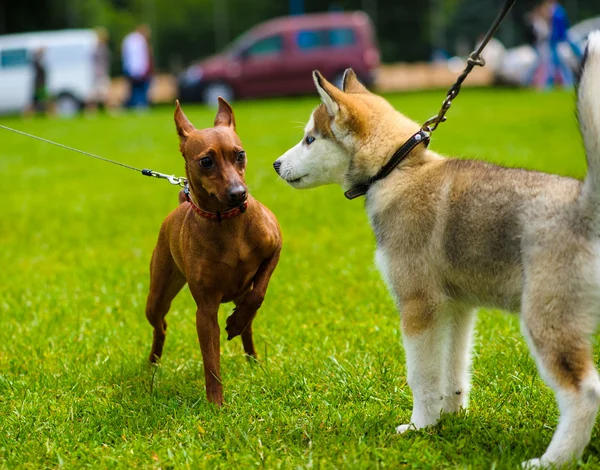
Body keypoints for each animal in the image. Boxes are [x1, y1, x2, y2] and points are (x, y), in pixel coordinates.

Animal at [145, 98, 282, 404]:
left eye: (240, 155)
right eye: (206, 162)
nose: (239, 193)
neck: (227, 223)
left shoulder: (275, 250)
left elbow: (259, 293)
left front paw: (236, 322)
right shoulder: (205, 311)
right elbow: (211, 362)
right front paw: (216, 404)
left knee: (249, 321)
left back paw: (251, 356)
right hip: (157, 296)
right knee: (160, 326)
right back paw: (152, 365)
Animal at [274, 33, 600, 466]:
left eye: (310, 139)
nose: (275, 165)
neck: (396, 170)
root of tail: (587, 204)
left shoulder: (418, 305)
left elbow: (422, 375)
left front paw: (419, 426)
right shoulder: (457, 307)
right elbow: (454, 370)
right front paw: (452, 417)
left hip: (547, 320)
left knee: (585, 392)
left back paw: (552, 460)